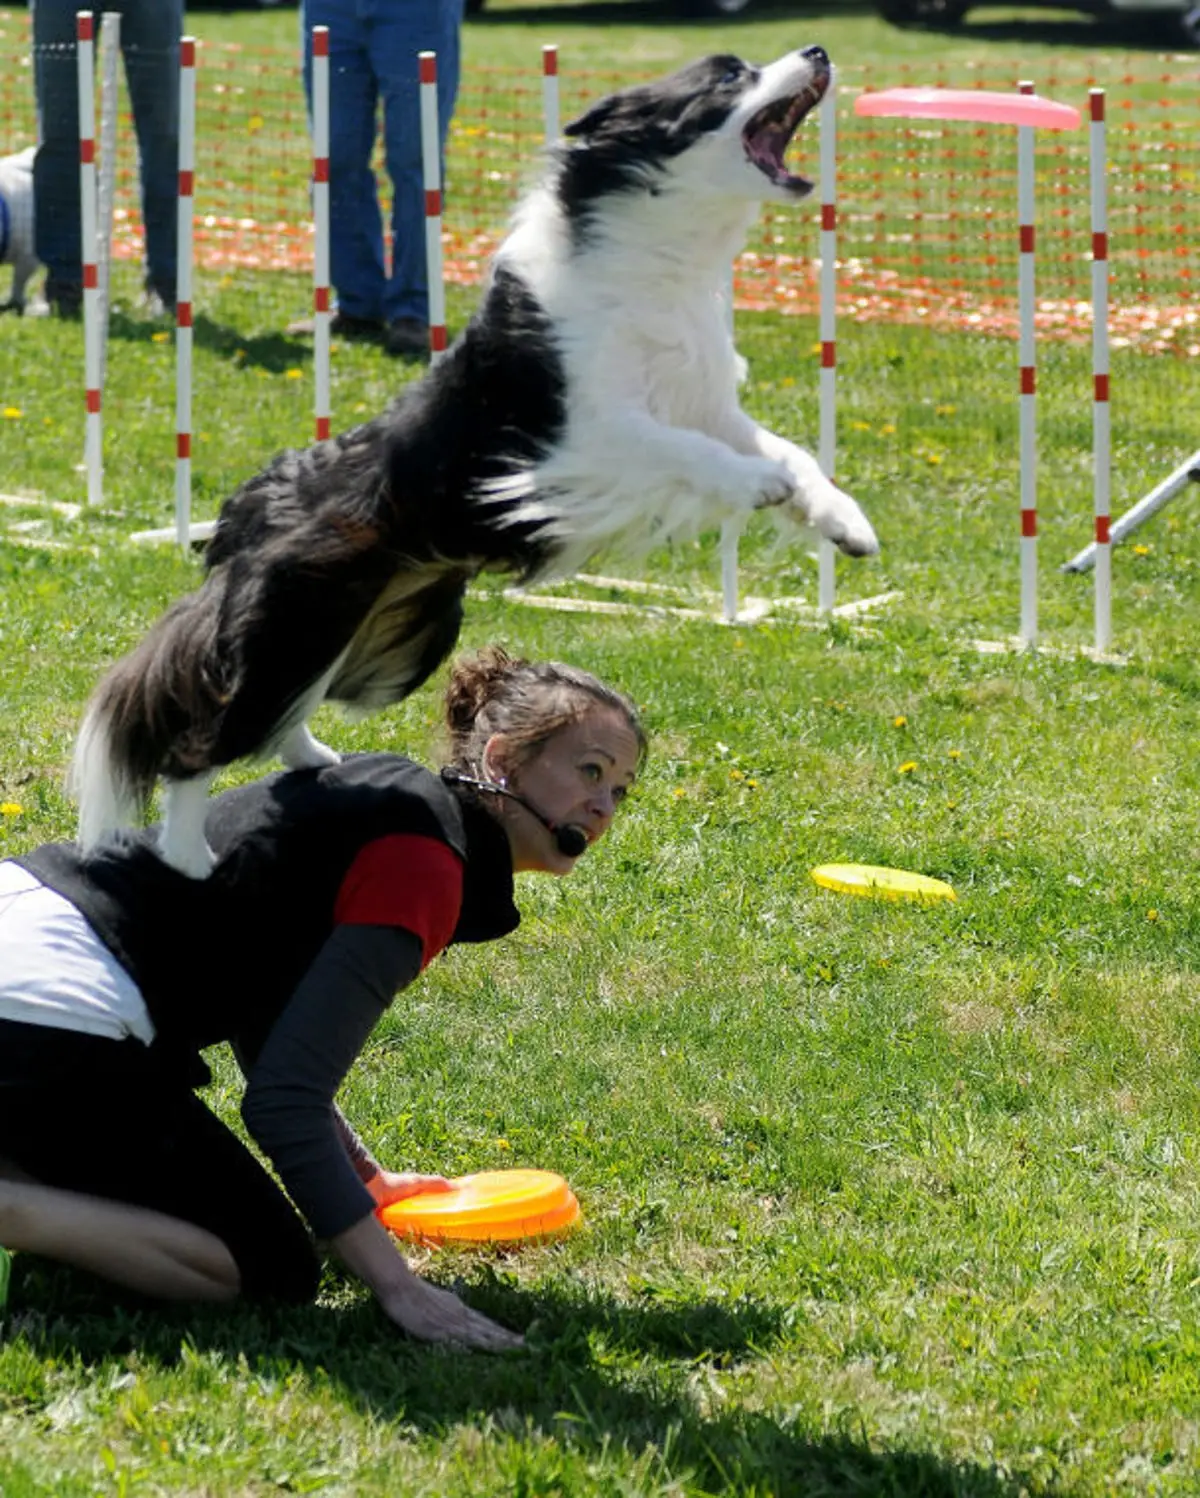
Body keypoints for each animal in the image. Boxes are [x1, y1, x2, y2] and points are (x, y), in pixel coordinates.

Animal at [74, 46, 880, 874]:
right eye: (727, 76)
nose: (817, 53)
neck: (661, 251)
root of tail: (249, 506)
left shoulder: (707, 403)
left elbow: (791, 451)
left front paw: (845, 522)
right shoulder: (581, 440)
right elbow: (689, 452)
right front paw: (759, 484)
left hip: (383, 640)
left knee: (285, 707)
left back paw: (315, 759)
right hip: (298, 618)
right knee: (204, 735)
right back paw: (187, 854)